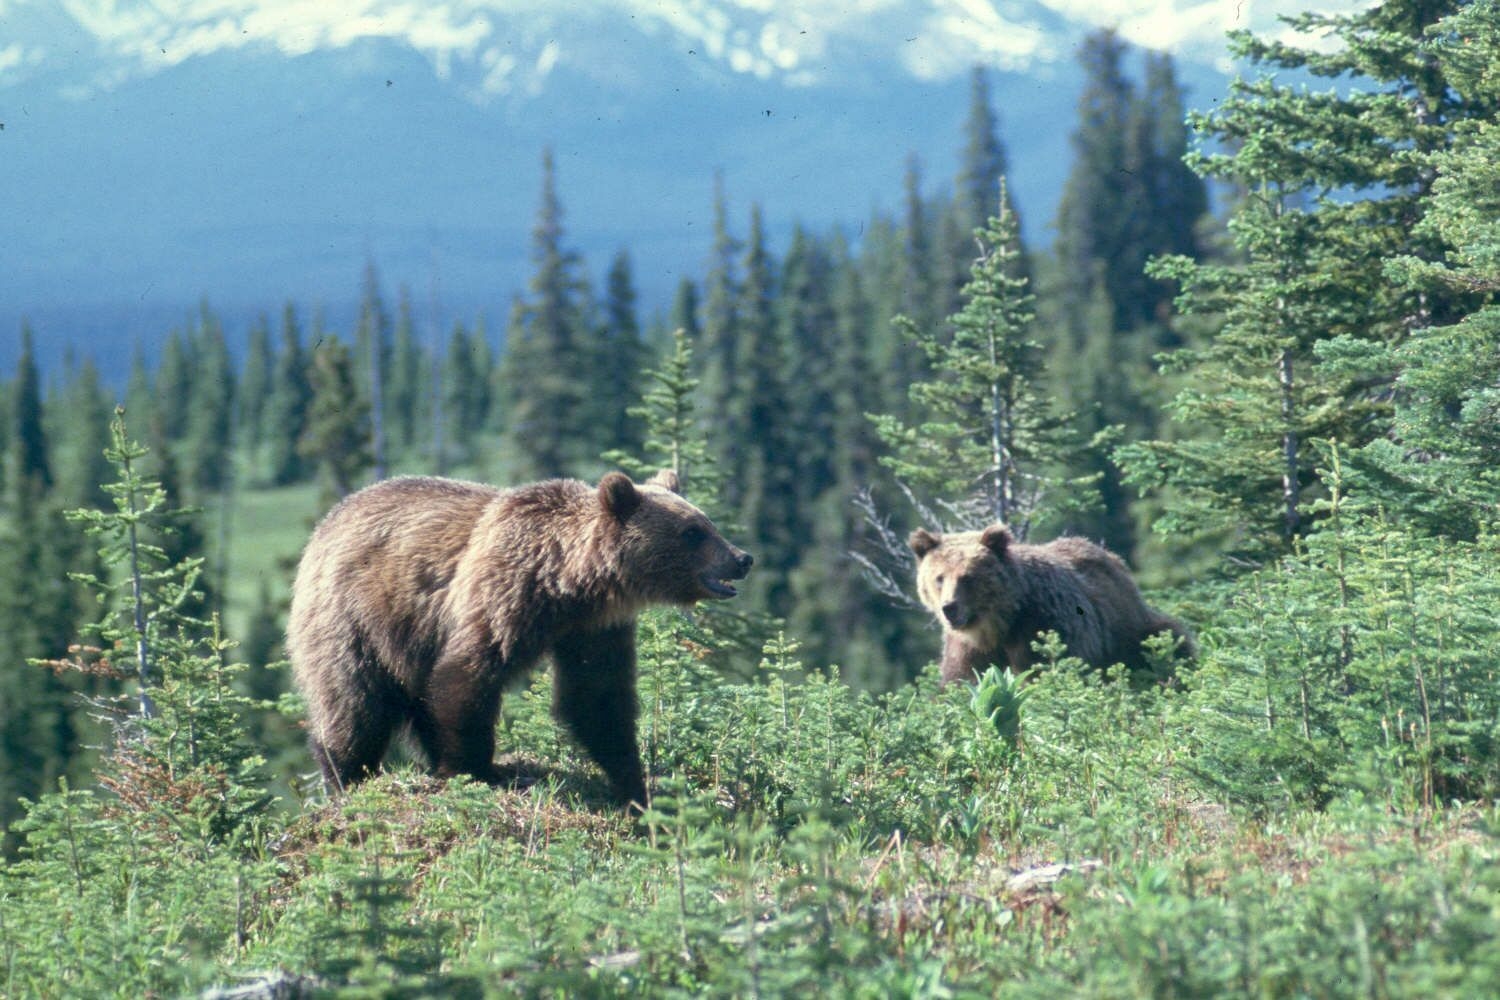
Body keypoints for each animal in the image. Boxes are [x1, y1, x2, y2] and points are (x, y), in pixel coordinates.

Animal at [286, 469, 752, 808]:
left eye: (707, 522)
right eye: (693, 532)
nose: (742, 558)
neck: (569, 585)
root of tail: (324, 525)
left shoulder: (595, 629)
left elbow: (597, 700)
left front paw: (635, 787)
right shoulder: (503, 590)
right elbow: (467, 676)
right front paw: (476, 769)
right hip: (351, 616)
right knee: (354, 703)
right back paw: (345, 775)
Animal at [908, 524, 1192, 685]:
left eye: (968, 577)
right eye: (939, 578)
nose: (949, 608)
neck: (999, 625)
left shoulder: (1043, 627)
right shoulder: (967, 650)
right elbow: (961, 682)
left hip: (1131, 633)